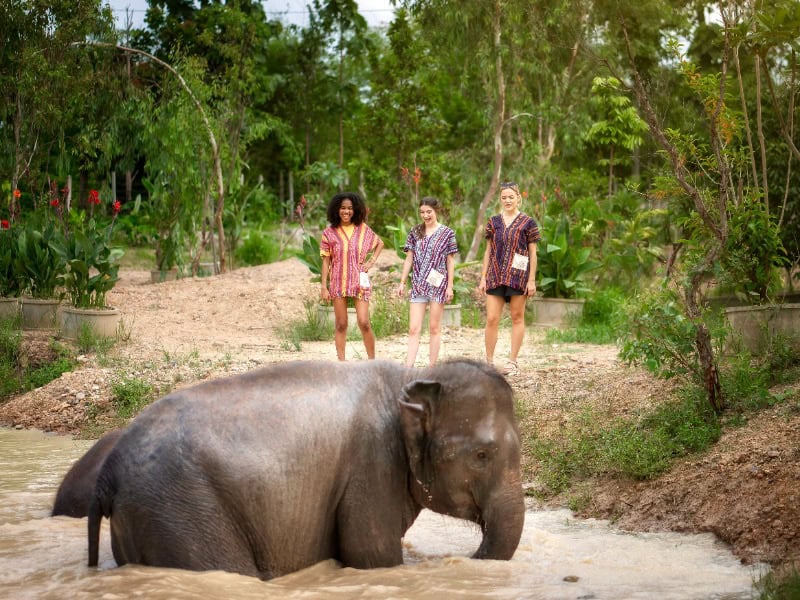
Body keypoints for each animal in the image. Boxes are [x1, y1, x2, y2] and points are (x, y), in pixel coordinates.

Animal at [88, 358, 524, 580]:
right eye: (482, 455)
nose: (469, 557)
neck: (412, 376)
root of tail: (107, 474)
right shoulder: (371, 463)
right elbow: (373, 556)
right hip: (179, 509)